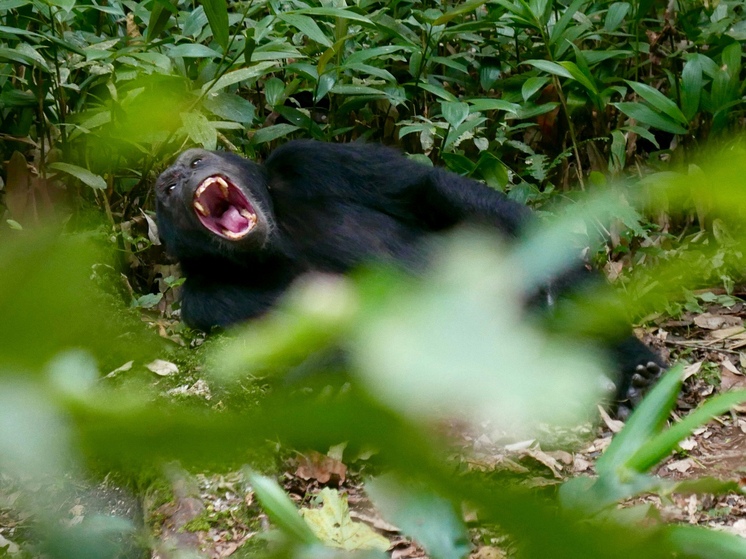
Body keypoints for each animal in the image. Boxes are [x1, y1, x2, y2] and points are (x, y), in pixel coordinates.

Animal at [154, 140, 660, 412]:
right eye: (168, 189)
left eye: (196, 162)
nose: (181, 175)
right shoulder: (205, 298)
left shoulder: (309, 160)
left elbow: (426, 191)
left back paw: (633, 370)